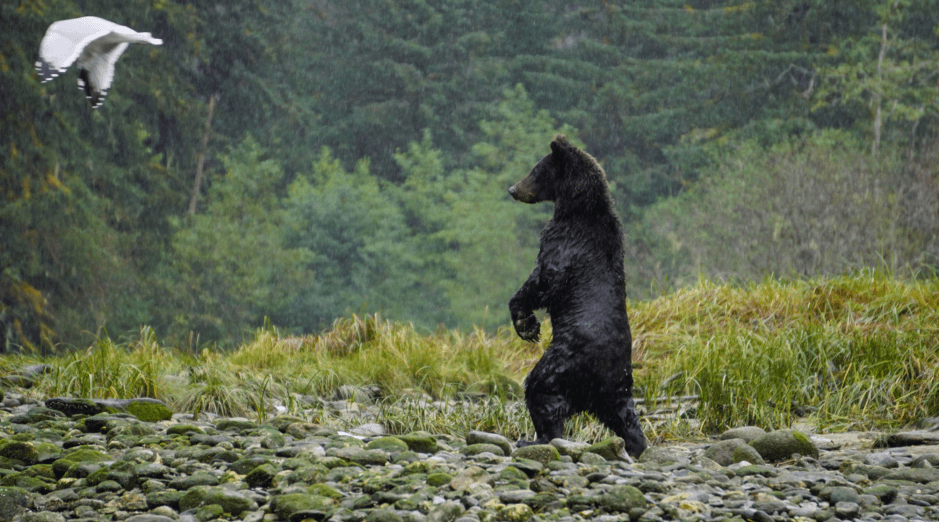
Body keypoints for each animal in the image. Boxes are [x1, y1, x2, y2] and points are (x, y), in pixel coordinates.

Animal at [508, 134, 647, 457]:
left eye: (535, 170)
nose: (513, 189)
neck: (574, 207)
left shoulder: (567, 243)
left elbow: (544, 280)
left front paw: (525, 324)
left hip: (565, 363)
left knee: (542, 390)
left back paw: (535, 438)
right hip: (617, 390)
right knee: (626, 417)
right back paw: (637, 445)